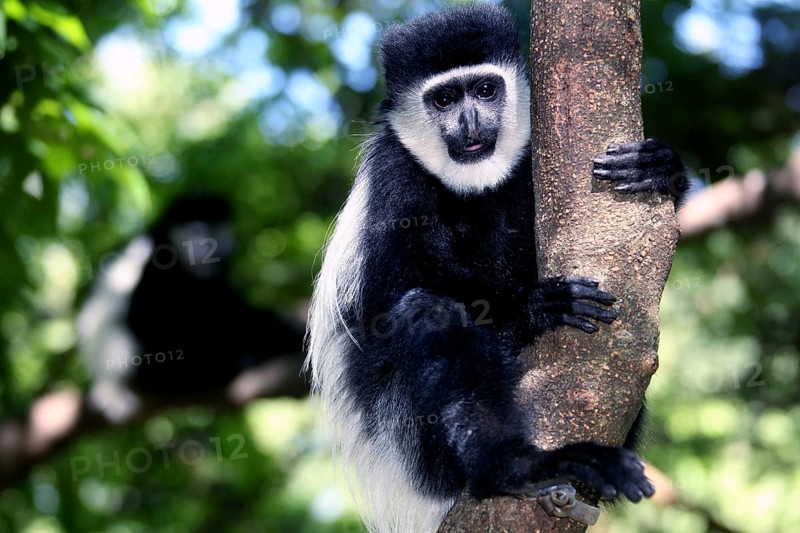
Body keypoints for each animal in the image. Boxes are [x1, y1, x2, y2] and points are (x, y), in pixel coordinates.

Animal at [305, 5, 688, 532]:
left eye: (486, 89)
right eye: (445, 98)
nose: (469, 121)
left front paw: (659, 168)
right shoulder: (393, 177)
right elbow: (387, 296)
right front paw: (535, 305)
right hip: (411, 448)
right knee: (430, 315)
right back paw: (517, 467)